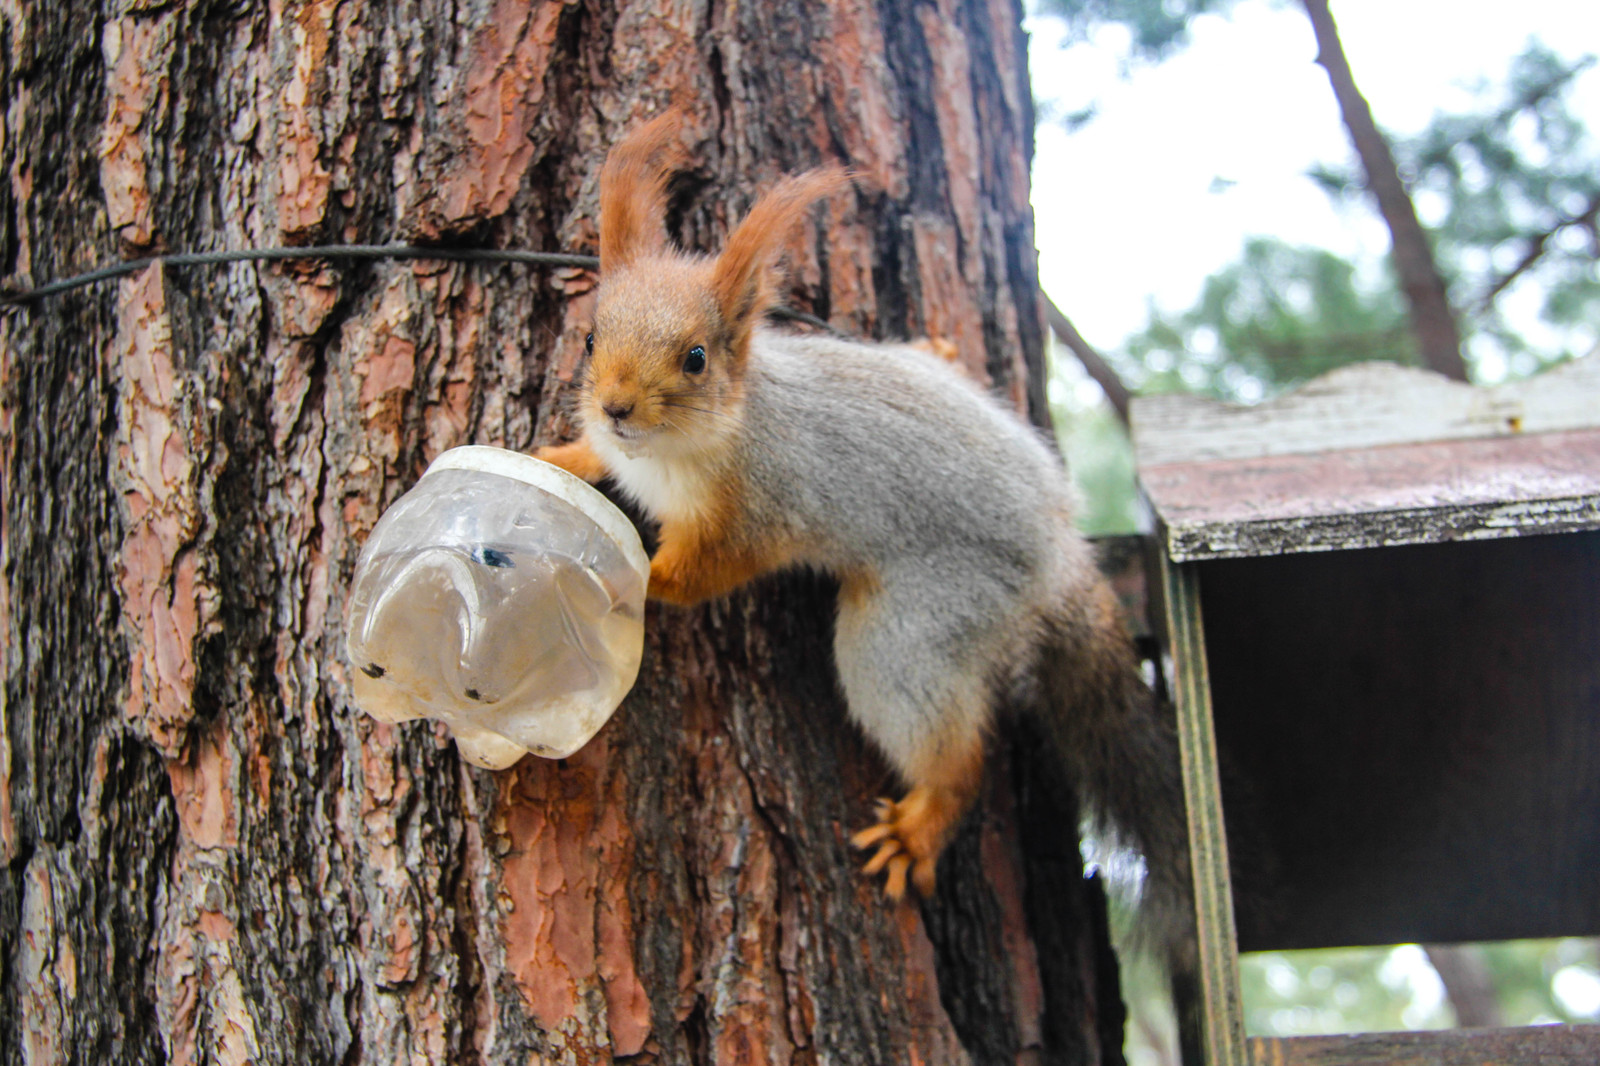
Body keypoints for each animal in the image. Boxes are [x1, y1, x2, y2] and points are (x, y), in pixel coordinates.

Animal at [537, 114, 1190, 960]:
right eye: (589, 339)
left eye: (696, 358)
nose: (615, 407)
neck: (683, 447)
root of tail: (1059, 554)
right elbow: (592, 463)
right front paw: (558, 456)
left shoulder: (758, 512)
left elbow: (699, 572)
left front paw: (636, 579)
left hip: (914, 623)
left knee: (950, 745)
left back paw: (923, 824)